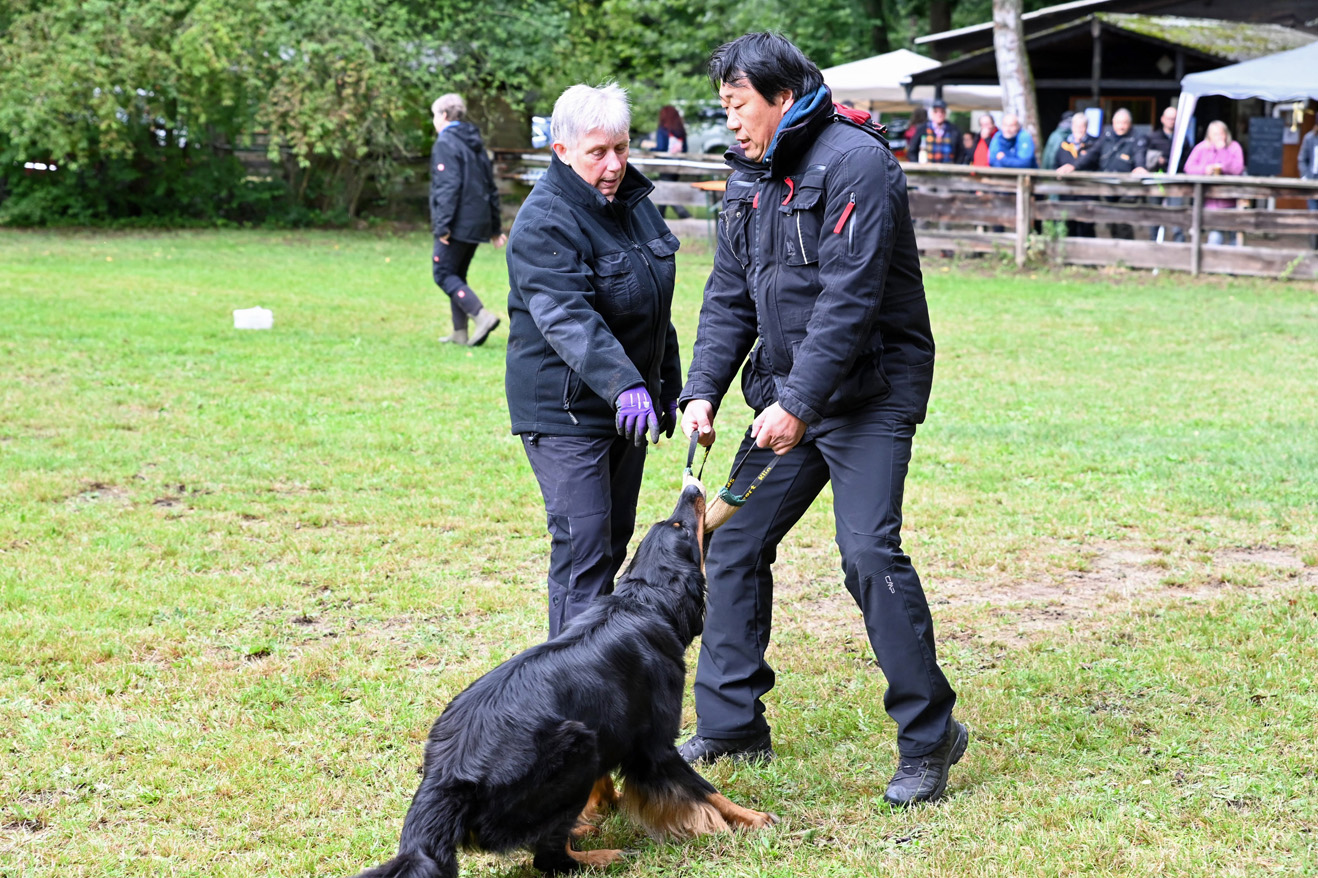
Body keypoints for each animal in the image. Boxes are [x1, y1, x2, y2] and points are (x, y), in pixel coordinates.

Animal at [355, 482, 774, 870]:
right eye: (681, 526)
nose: (691, 488)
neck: (643, 602)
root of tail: (445, 777)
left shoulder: (612, 725)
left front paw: (606, 803)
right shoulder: (654, 745)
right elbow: (703, 789)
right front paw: (751, 818)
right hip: (577, 747)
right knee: (548, 858)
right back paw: (600, 856)